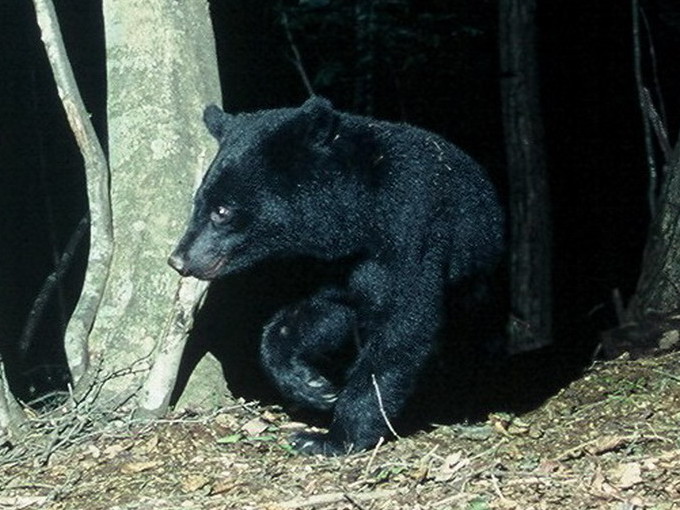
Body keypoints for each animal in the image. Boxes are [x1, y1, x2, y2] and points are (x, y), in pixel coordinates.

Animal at [167, 95, 502, 454]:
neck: (362, 217)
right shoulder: (337, 266)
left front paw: (332, 438)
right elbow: (320, 312)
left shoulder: (412, 232)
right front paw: (313, 386)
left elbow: (403, 324)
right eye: (198, 202)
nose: (178, 259)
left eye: (222, 211)